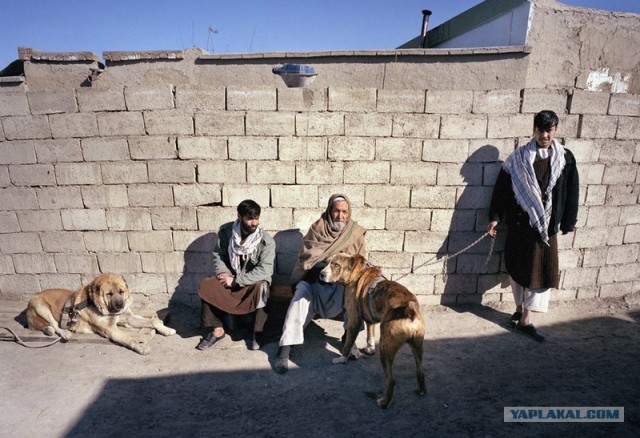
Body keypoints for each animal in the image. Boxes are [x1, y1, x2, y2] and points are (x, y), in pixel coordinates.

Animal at [26, 272, 176, 354]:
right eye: (109, 294)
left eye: (121, 291)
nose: (120, 305)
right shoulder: (110, 329)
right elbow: (129, 338)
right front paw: (141, 347)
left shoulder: (128, 317)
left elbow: (153, 320)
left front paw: (166, 329)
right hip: (40, 305)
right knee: (55, 325)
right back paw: (65, 332)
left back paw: (49, 330)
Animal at [318, 253, 428, 408]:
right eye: (327, 262)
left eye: (336, 265)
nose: (321, 274)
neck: (357, 273)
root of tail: (409, 310)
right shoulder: (370, 319)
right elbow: (370, 335)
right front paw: (369, 349)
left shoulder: (354, 319)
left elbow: (348, 344)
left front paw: (342, 359)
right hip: (417, 347)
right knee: (421, 372)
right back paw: (421, 390)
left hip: (385, 348)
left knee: (391, 380)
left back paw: (384, 402)